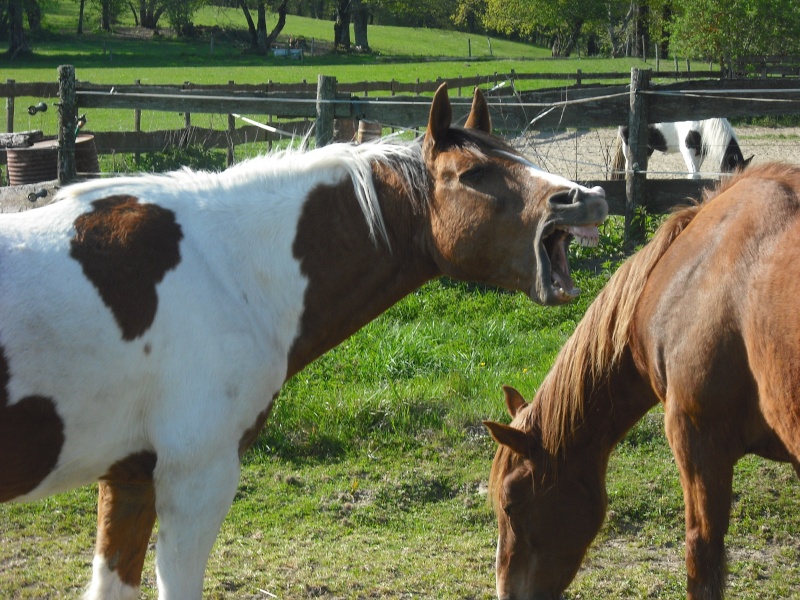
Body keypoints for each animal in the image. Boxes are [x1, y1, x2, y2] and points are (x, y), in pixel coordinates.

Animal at [608, 118, 752, 179]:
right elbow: (694, 175)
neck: (703, 124)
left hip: (647, 149)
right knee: (627, 167)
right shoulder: (688, 151)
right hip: (628, 146)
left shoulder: (700, 154)